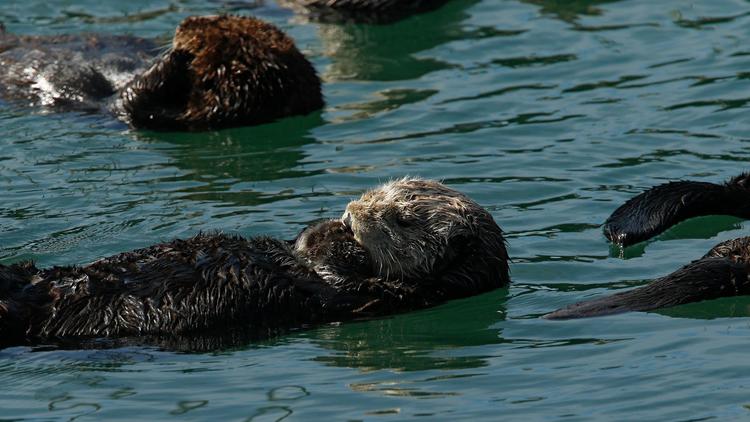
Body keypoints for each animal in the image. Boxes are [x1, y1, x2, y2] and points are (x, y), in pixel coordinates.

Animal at [0, 179, 509, 349]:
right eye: (377, 190)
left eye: (401, 218)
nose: (350, 213)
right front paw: (326, 227)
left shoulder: (386, 298)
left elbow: (339, 280)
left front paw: (337, 240)